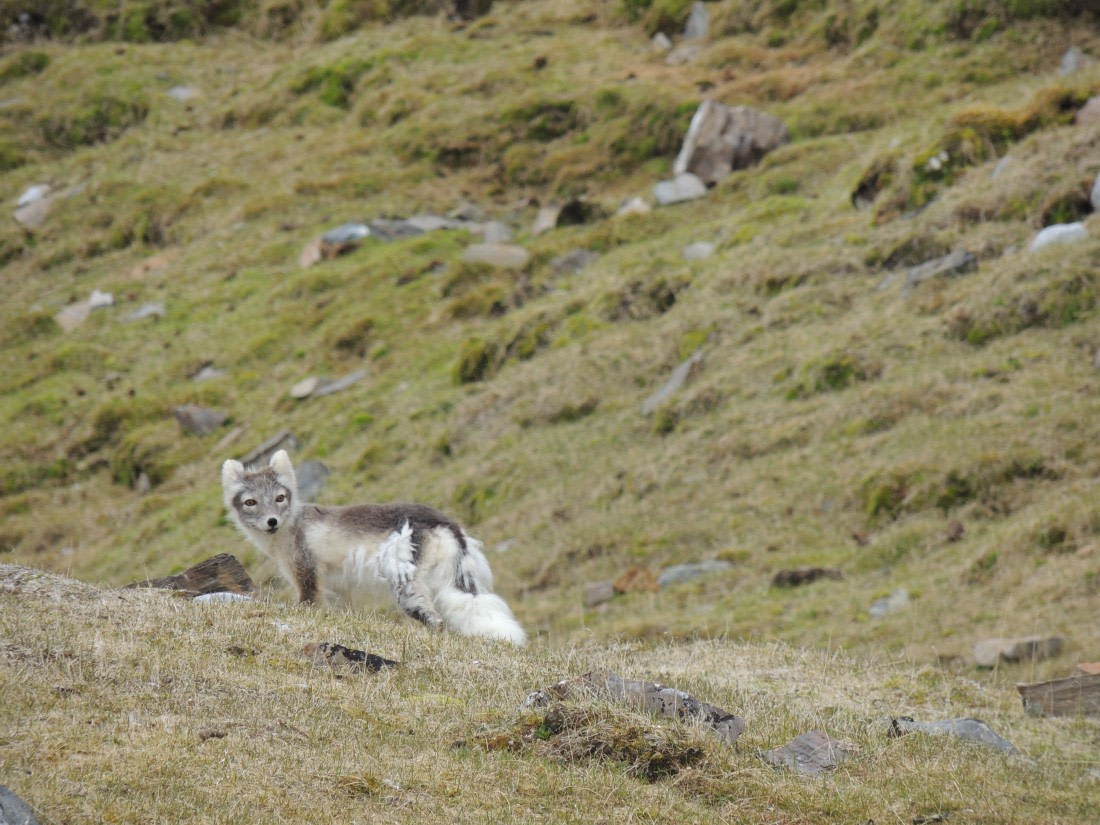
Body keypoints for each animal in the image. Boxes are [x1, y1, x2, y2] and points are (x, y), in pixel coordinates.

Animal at [221, 450, 526, 645]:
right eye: (251, 502)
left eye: (280, 498)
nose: (272, 521)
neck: (293, 525)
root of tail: (445, 522)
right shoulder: (338, 588)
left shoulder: (306, 573)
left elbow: (308, 604)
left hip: (406, 585)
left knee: (436, 620)